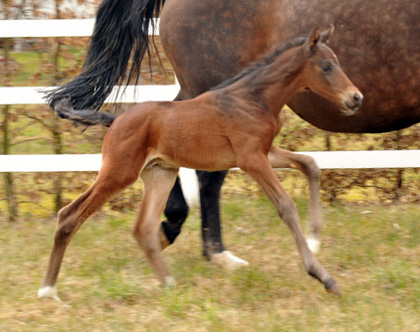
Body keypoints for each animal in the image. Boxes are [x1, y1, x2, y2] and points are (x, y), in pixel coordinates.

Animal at [37, 27, 362, 300]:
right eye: (326, 66)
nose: (356, 98)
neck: (254, 98)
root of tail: (114, 119)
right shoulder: (251, 159)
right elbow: (286, 206)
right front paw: (322, 275)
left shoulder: (264, 152)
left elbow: (310, 164)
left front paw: (316, 236)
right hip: (119, 172)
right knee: (69, 215)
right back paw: (48, 291)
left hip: (160, 174)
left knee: (143, 228)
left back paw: (168, 284)